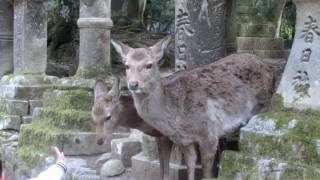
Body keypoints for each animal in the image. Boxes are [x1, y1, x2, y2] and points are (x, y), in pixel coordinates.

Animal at [111, 36, 274, 179]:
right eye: (126, 65)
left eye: (149, 64)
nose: (133, 84)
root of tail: (267, 65)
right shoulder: (185, 141)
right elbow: (190, 167)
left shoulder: (209, 133)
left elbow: (207, 173)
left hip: (263, 106)